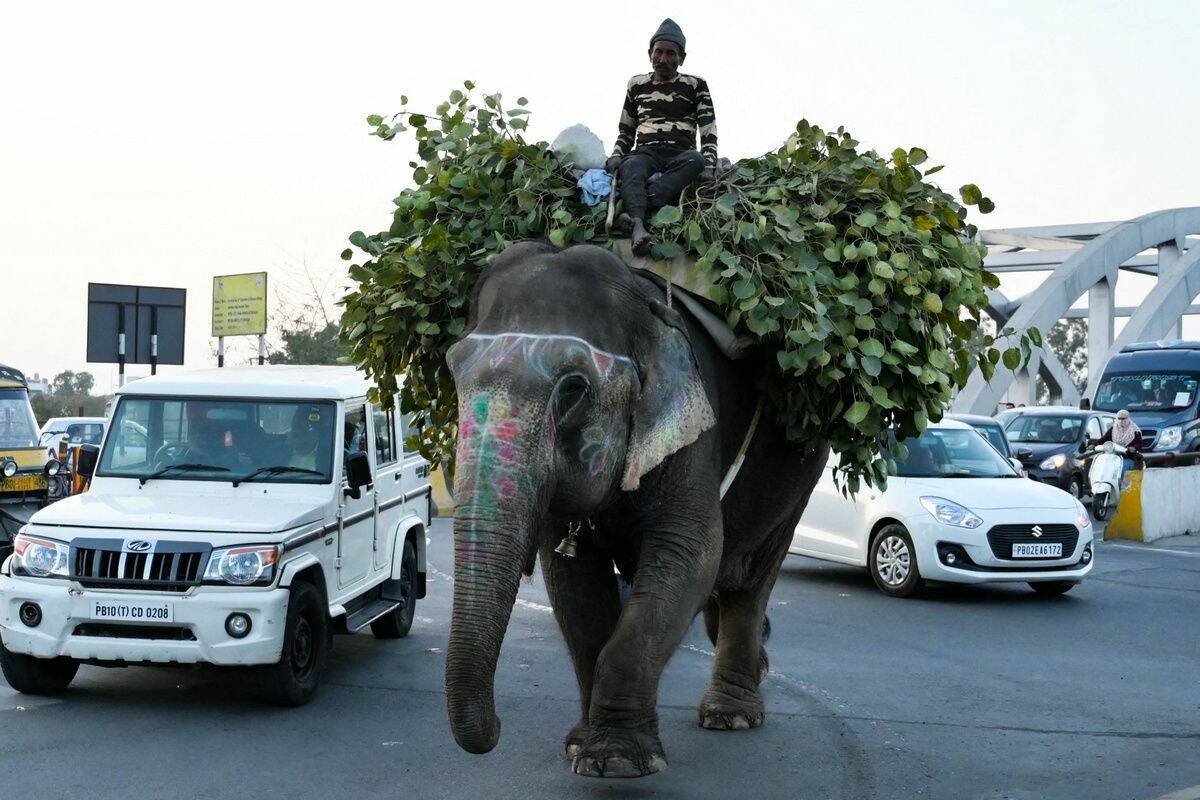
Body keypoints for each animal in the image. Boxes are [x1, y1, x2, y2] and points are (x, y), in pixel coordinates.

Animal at [446, 241, 830, 777]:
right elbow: (572, 583)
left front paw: (619, 762)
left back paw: (731, 716)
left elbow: (690, 555)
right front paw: (580, 747)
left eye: (574, 389)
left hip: (801, 474)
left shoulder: (696, 427)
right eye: (451, 369)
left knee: (749, 576)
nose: (499, 726)